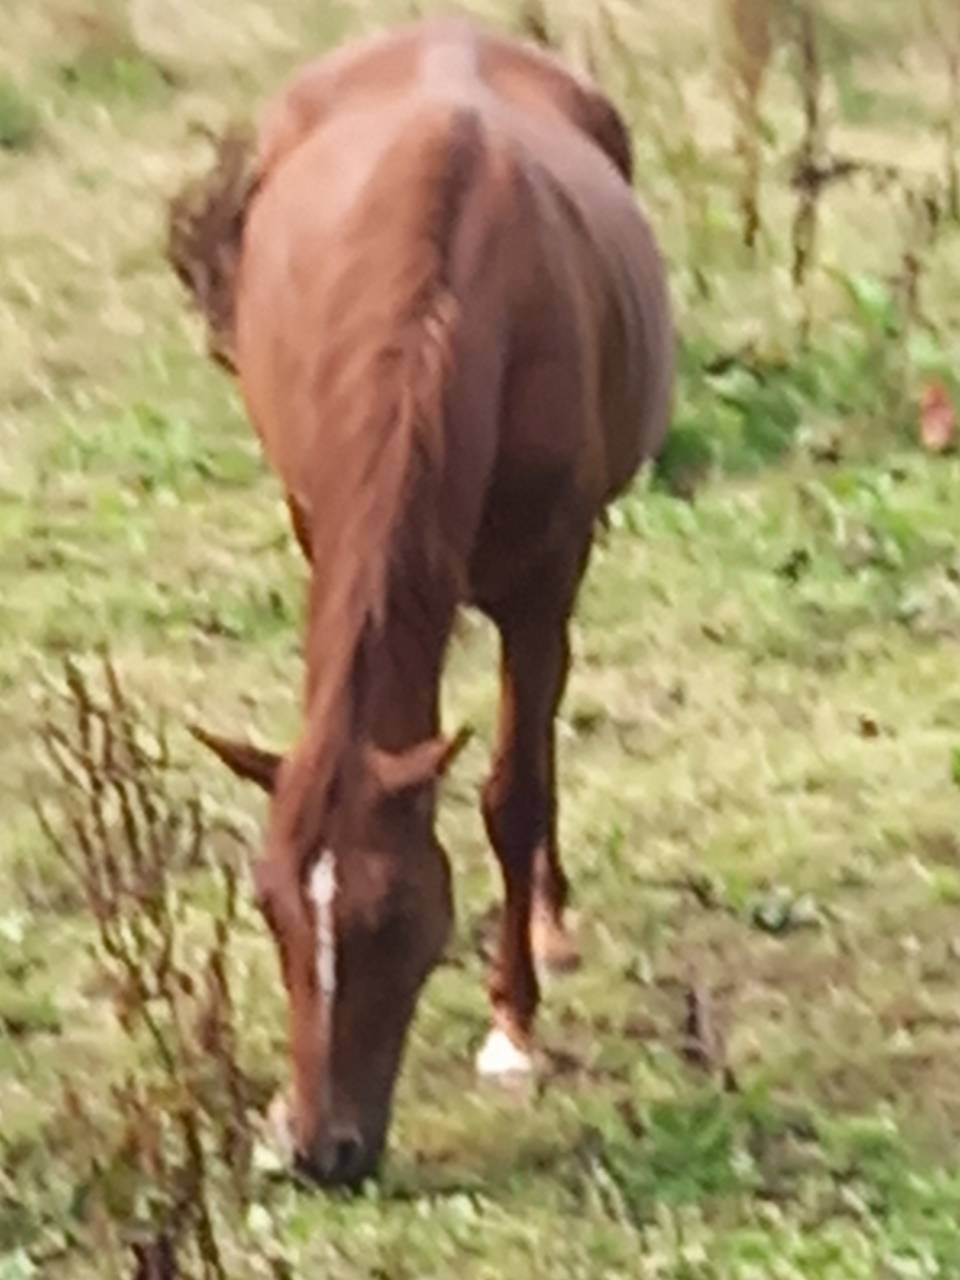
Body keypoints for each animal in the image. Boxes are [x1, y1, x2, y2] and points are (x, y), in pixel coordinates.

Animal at [169, 16, 673, 1187]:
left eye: (397, 917)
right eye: (267, 906)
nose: (319, 1150)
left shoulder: (546, 580)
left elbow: (513, 790)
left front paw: (512, 1024)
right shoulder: (322, 521)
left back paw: (550, 922)